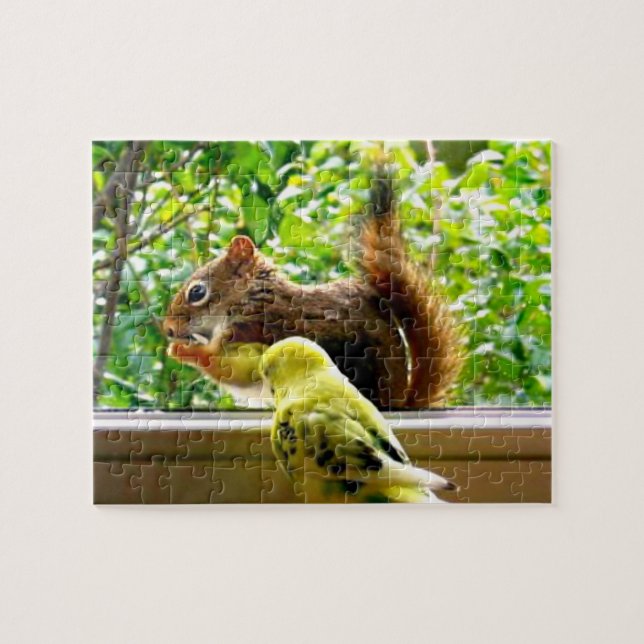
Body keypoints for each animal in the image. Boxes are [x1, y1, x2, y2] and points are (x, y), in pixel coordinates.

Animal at [163, 180, 462, 409]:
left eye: (197, 292)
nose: (168, 330)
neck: (250, 299)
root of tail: (398, 401)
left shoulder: (254, 329)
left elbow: (231, 369)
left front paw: (183, 350)